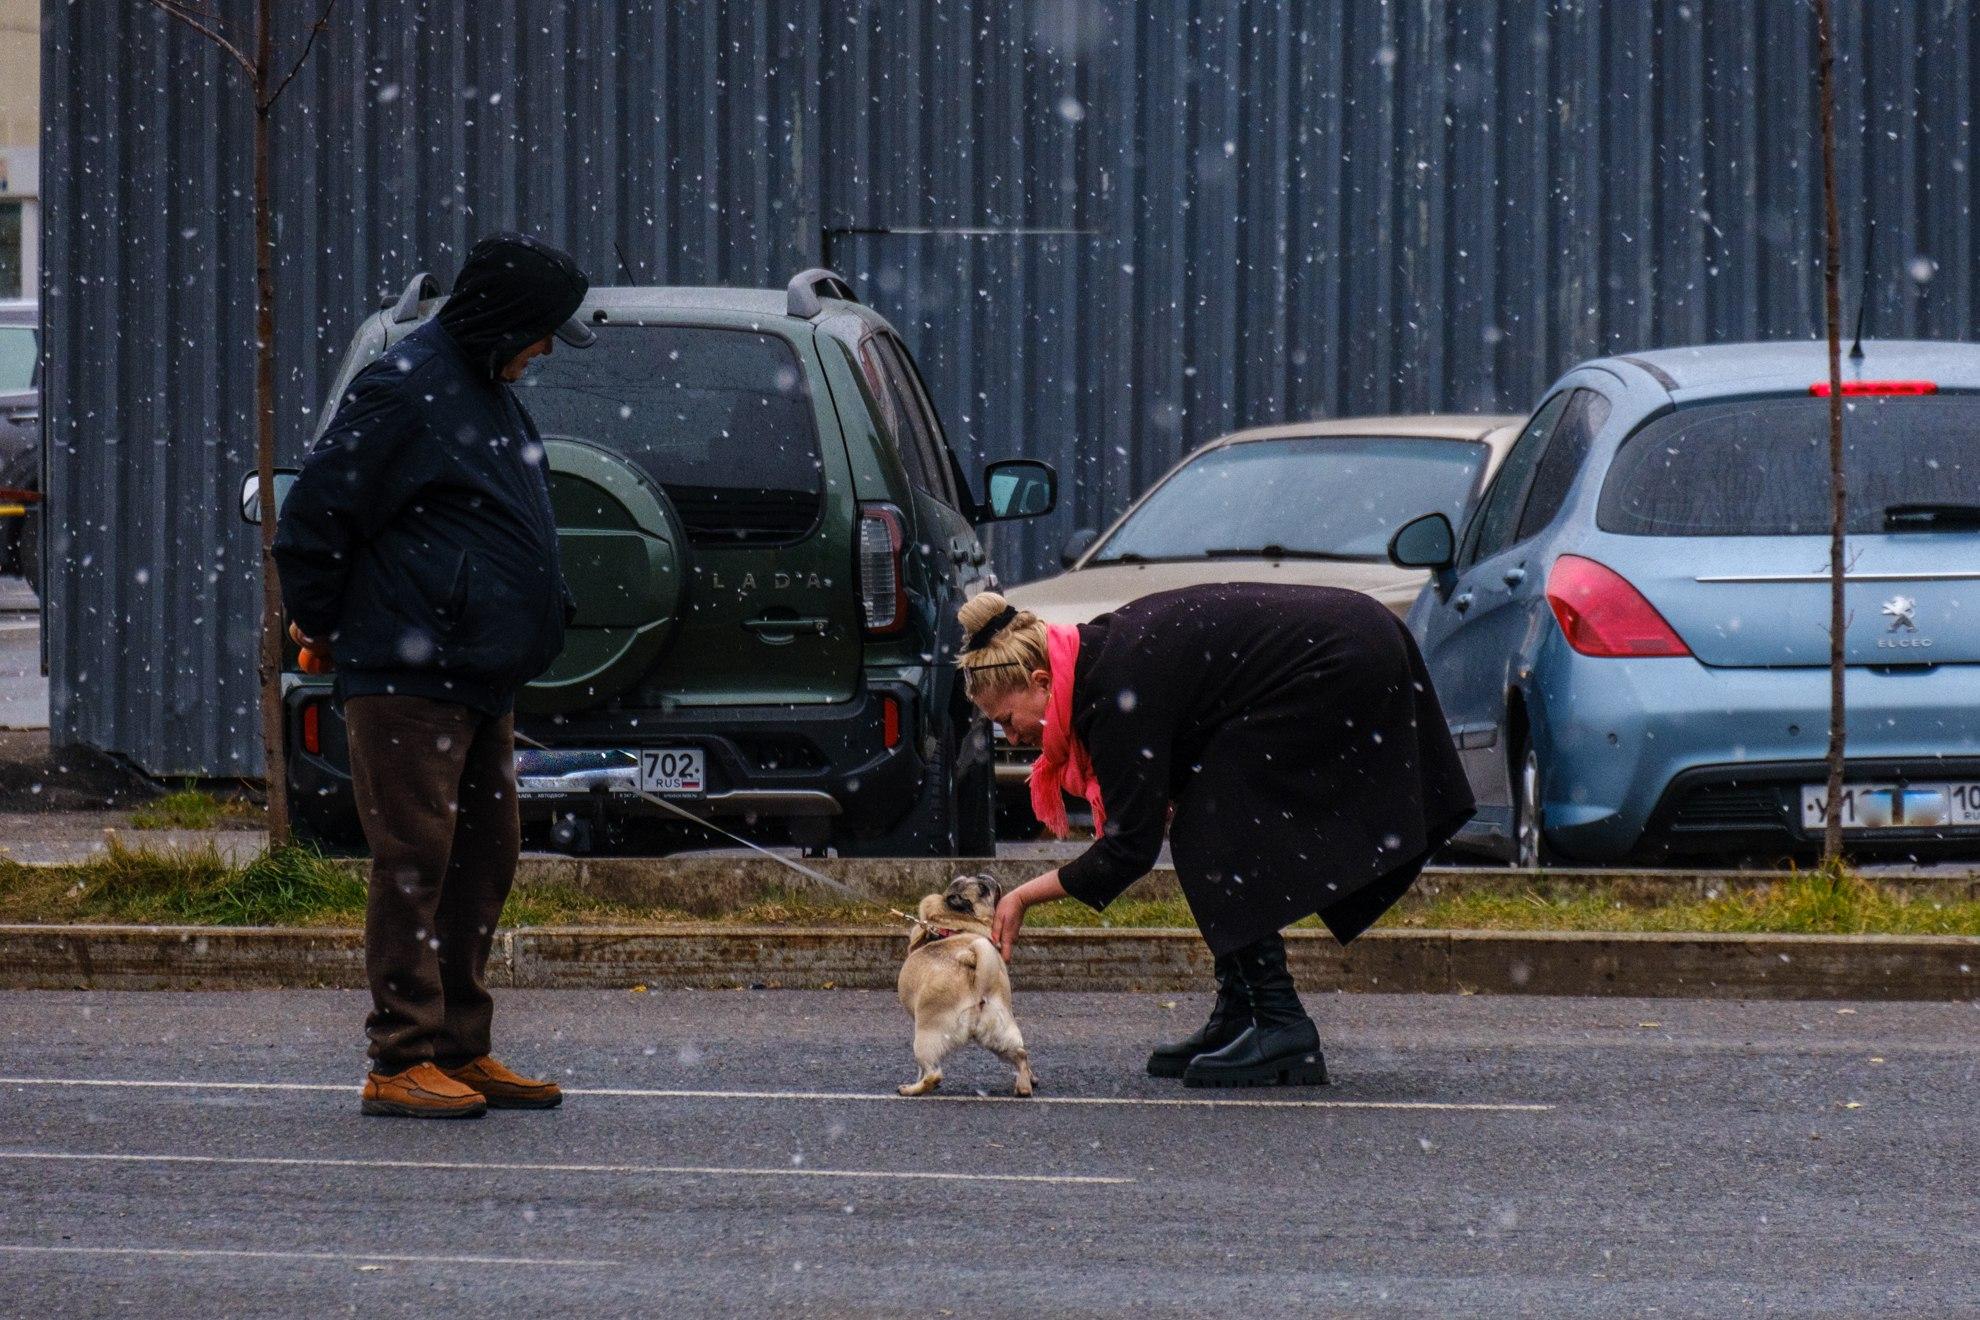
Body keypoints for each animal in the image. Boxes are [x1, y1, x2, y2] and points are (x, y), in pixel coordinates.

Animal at [898, 870, 1037, 1100]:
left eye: (983, 888)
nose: (985, 875)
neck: (953, 925)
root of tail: (978, 981)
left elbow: (920, 1071)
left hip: (926, 1038)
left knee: (932, 1073)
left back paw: (911, 1089)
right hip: (1000, 1034)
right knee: (1021, 1055)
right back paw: (1025, 1085)